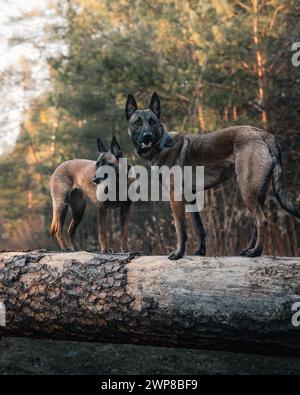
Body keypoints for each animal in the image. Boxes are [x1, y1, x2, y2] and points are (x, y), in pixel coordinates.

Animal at [125, 92, 300, 260]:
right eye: (137, 123)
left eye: (152, 121)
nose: (147, 136)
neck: (162, 145)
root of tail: (265, 134)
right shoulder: (190, 197)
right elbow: (199, 228)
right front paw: (200, 251)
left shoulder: (175, 197)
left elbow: (181, 229)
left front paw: (178, 253)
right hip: (257, 193)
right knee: (256, 224)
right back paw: (249, 249)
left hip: (246, 190)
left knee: (261, 221)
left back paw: (256, 251)